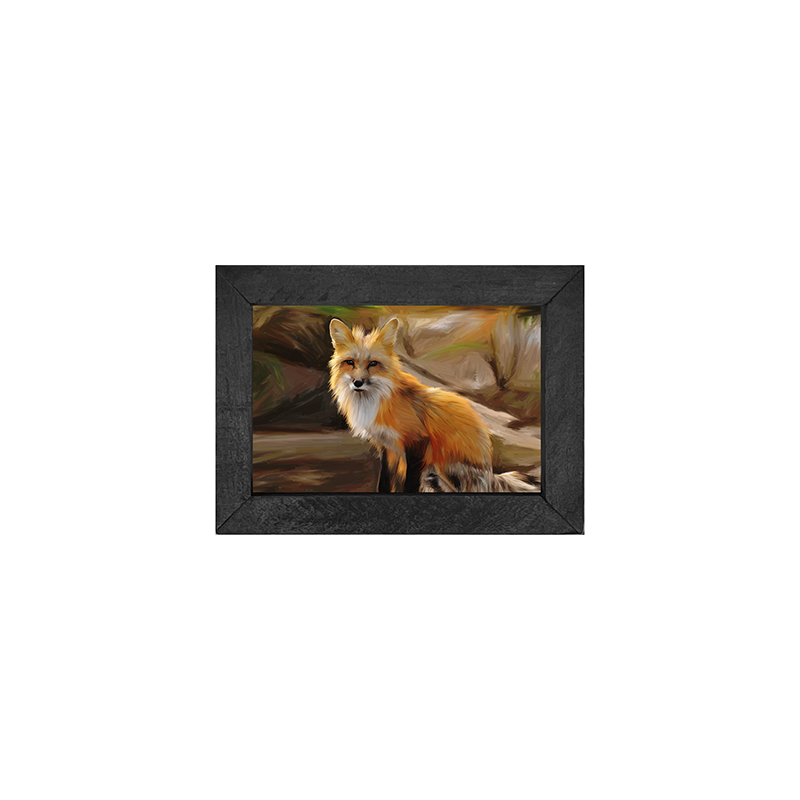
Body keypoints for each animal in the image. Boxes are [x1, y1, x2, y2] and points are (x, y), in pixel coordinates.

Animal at [328, 316, 537, 493]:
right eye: (350, 362)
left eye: (373, 363)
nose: (358, 383)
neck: (376, 402)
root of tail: (490, 473)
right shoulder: (388, 447)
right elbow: (385, 483)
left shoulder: (418, 443)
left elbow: (410, 484)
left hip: (444, 465)